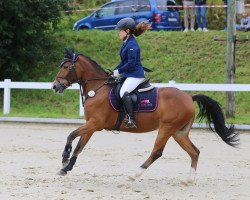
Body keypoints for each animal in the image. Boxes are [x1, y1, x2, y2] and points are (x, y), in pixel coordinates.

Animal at [51, 48, 239, 184]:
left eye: (66, 67)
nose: (55, 86)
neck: (97, 89)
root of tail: (188, 97)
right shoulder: (91, 124)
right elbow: (80, 146)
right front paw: (66, 168)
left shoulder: (95, 124)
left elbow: (71, 135)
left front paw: (64, 158)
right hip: (179, 132)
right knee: (194, 152)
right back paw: (188, 180)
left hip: (166, 128)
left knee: (157, 152)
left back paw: (134, 174)